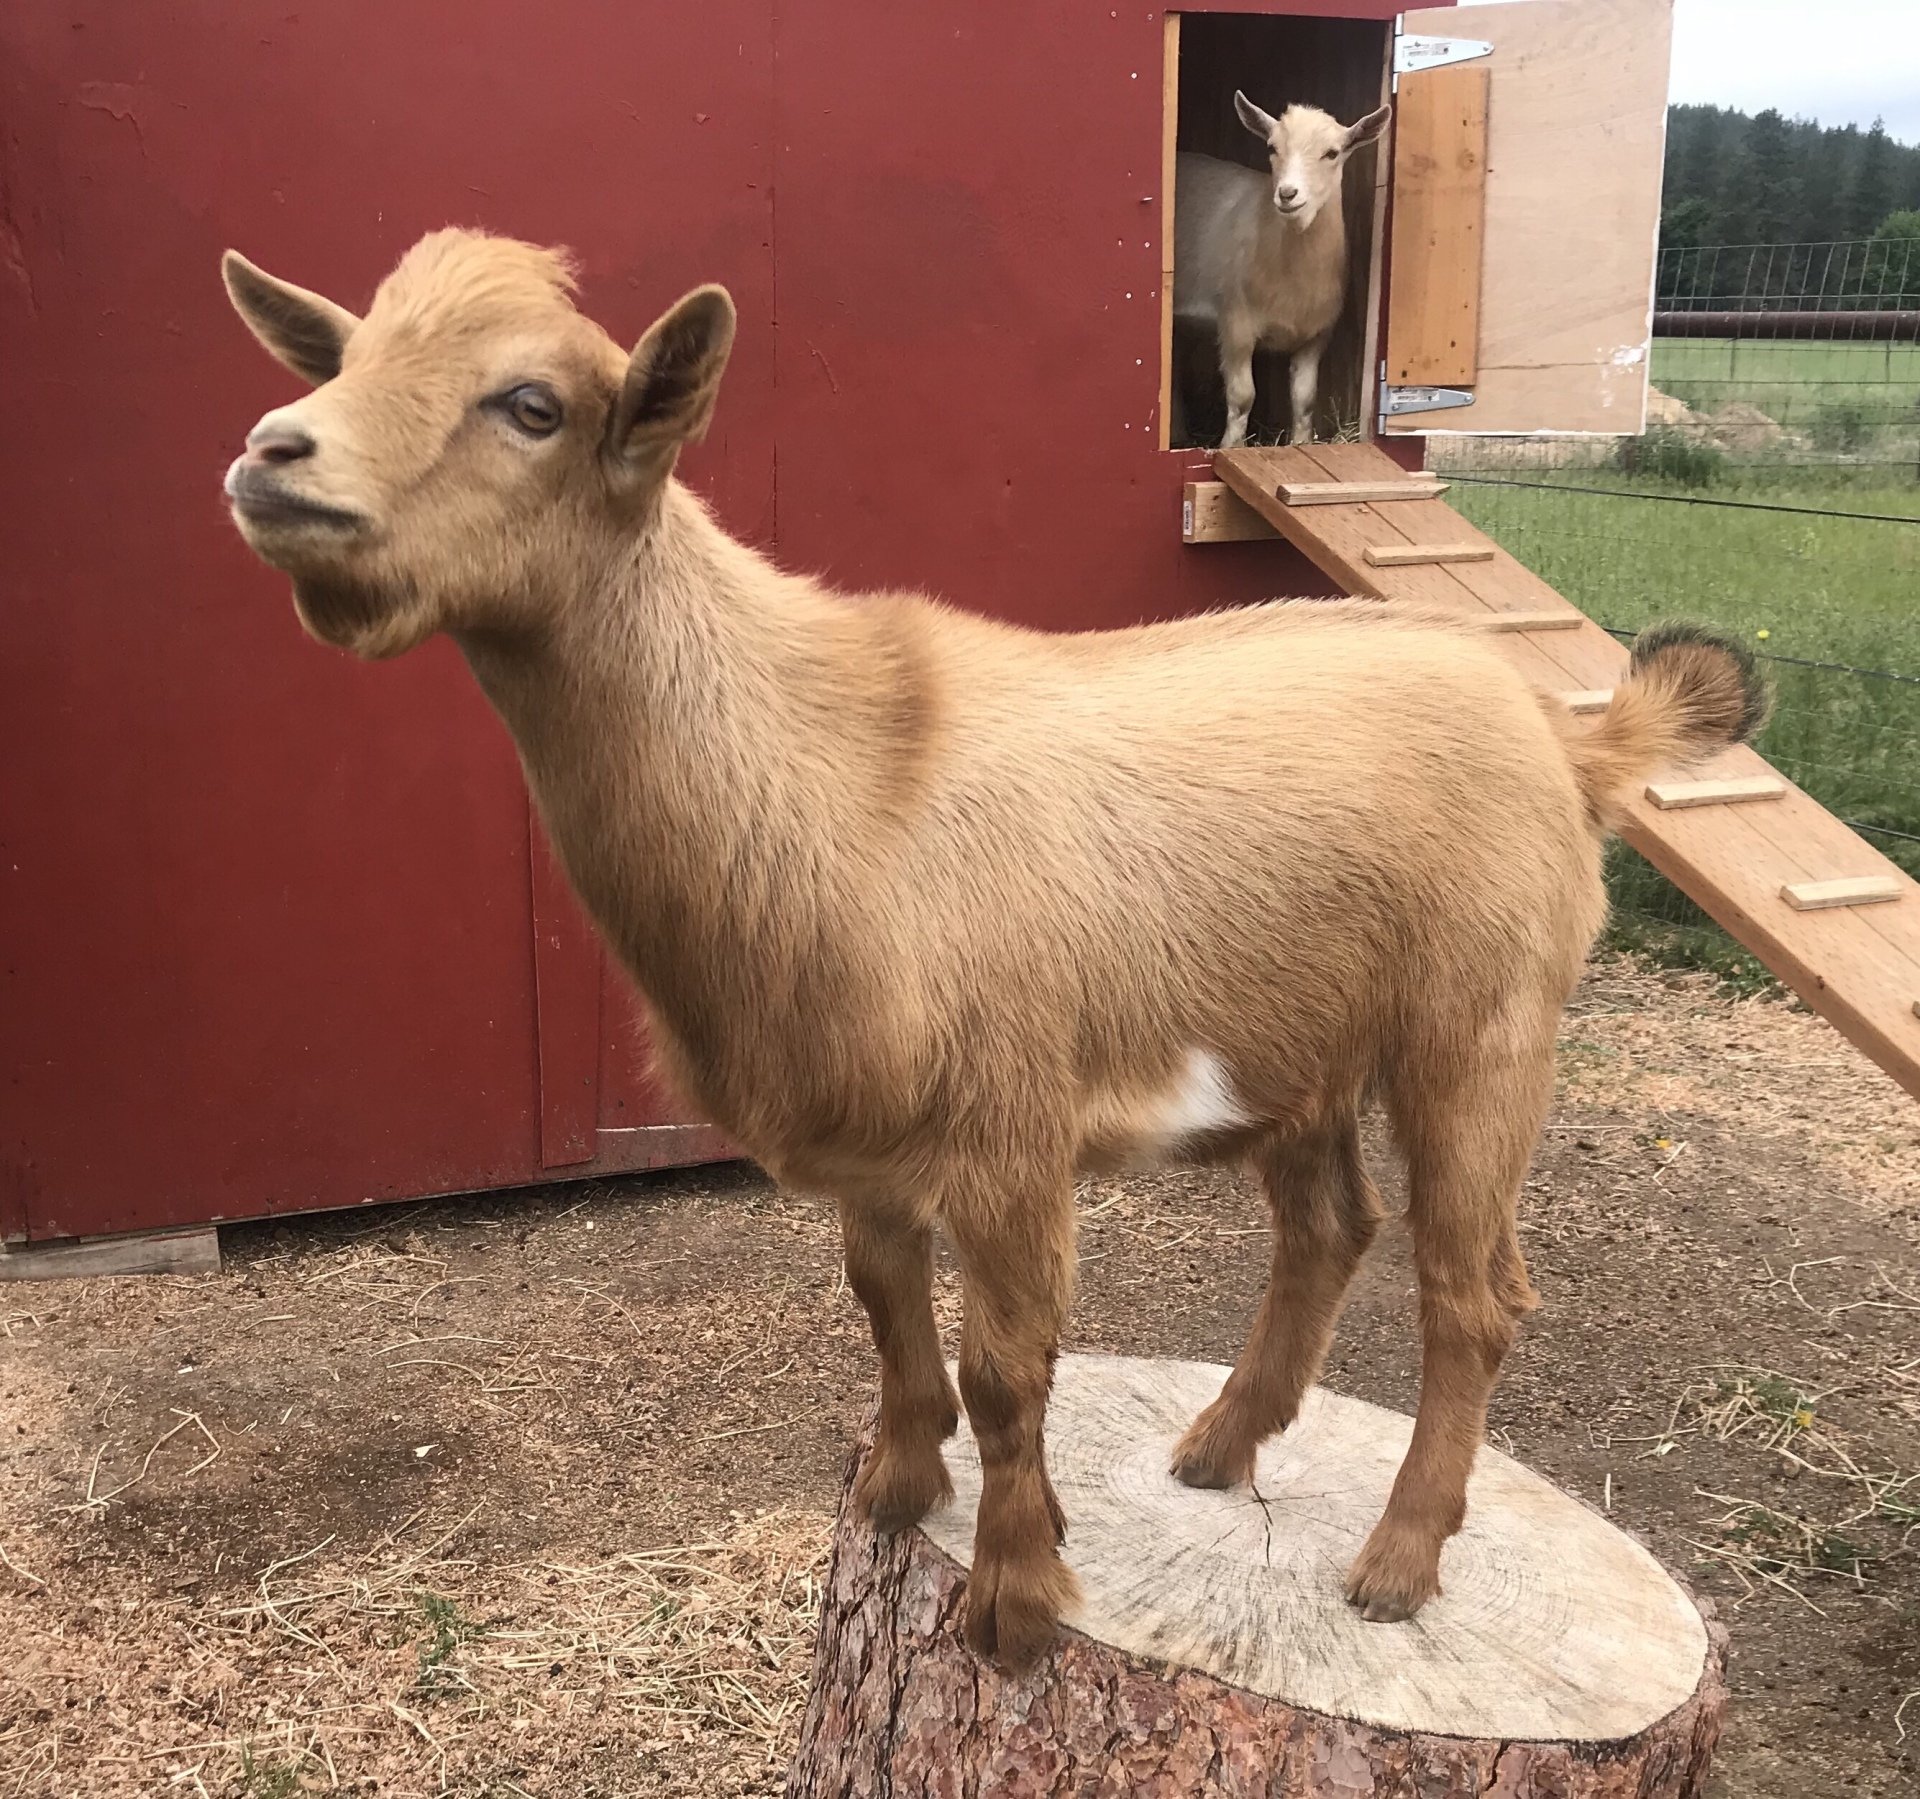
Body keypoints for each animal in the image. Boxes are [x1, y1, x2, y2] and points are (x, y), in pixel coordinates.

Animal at [219, 229, 1768, 1670]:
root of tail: (1567, 737)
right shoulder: (867, 1137)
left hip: (1484, 1022)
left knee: (1475, 1293)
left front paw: (1016, 1597)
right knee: (1329, 1224)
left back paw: (1396, 1558)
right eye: (346, 355)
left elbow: (1008, 1369)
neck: (830, 768)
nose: (272, 459)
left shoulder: (1013, 1127)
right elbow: (887, 1309)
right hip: (1301, 1042)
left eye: (531, 403)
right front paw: (901, 1490)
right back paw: (1219, 1445)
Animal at [1174, 94, 1390, 448]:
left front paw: (1299, 444)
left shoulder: (1316, 334)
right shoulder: (1236, 323)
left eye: (1332, 153)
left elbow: (1305, 399)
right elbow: (1243, 396)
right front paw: (1231, 447)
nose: (1288, 194)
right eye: (1272, 147)